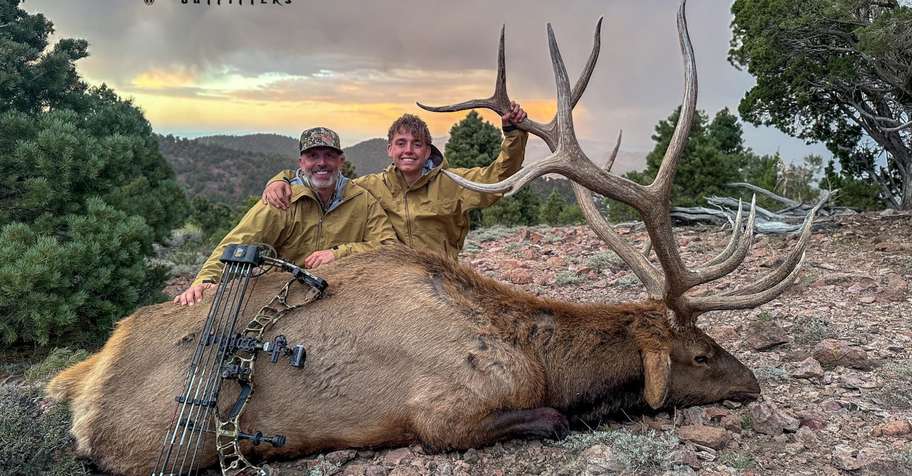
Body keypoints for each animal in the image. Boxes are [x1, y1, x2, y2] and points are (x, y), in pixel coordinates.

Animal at [47, 2, 823, 475]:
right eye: (701, 353)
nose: (753, 384)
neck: (536, 355)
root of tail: (84, 385)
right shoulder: (443, 412)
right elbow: (550, 418)